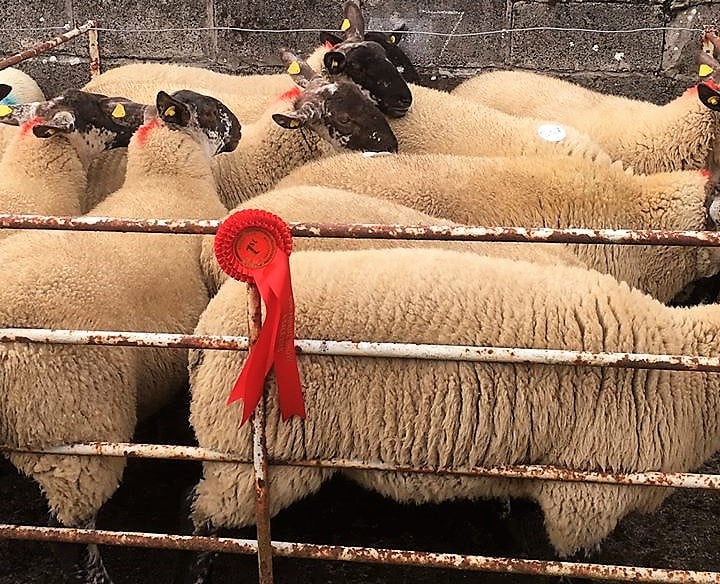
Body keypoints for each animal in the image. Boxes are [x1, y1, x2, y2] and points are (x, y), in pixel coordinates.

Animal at [187, 247, 720, 574]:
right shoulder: (586, 494)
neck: (679, 364)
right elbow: (575, 560)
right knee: (206, 516)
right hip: (248, 458)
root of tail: (214, 322)